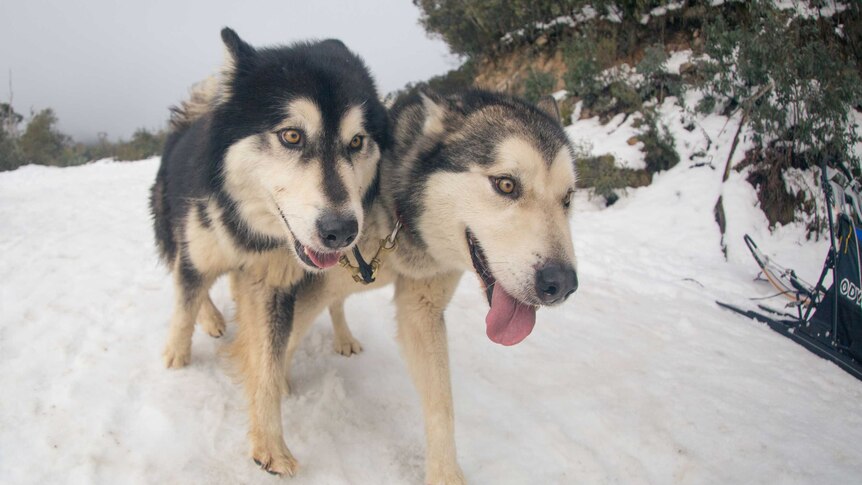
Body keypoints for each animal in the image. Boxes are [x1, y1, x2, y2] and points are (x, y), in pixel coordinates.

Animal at [151, 27, 388, 468]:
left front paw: (270, 446)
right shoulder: (199, 253)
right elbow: (185, 304)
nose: (341, 232)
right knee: (189, 281)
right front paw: (176, 355)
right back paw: (210, 319)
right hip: (175, 233)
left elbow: (267, 360)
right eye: (292, 135)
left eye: (356, 141)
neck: (249, 229)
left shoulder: (272, 284)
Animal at [223, 88, 580, 480]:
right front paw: (270, 409)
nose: (562, 283)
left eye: (568, 198)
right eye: (506, 184)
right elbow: (272, 351)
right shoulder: (304, 286)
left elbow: (442, 404)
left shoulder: (421, 307)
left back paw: (343, 338)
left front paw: (445, 475)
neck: (393, 213)